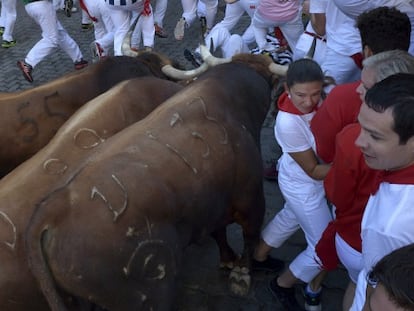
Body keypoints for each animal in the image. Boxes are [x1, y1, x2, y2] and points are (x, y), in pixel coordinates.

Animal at [24, 50, 286, 310]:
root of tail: (54, 206)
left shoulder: (212, 207)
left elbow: (219, 233)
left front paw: (228, 260)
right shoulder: (251, 198)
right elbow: (250, 236)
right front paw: (241, 274)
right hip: (149, 293)